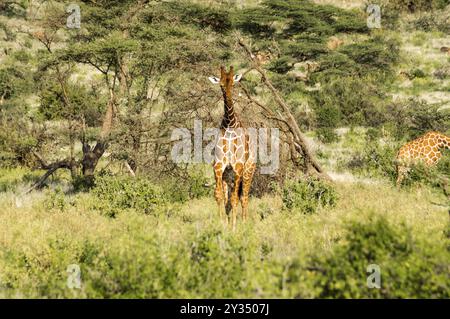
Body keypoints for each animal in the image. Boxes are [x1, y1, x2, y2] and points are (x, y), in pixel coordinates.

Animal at [208, 66, 255, 230]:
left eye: (233, 85)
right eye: (221, 85)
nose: (228, 101)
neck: (229, 125)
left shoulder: (238, 167)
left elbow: (235, 198)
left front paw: (234, 227)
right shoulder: (218, 166)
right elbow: (219, 196)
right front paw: (223, 224)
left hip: (248, 172)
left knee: (244, 197)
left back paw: (245, 223)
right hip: (227, 177)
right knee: (229, 199)